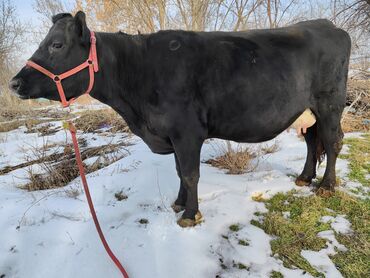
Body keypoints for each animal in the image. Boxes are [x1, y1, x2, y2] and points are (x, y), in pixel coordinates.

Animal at [8, 11, 350, 227]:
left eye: (57, 45)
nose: (13, 83)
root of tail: (329, 25)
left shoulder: (187, 132)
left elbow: (190, 173)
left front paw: (189, 215)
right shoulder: (172, 134)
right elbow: (178, 172)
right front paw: (179, 203)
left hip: (330, 104)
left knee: (333, 142)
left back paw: (326, 186)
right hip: (308, 111)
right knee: (312, 141)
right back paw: (304, 178)